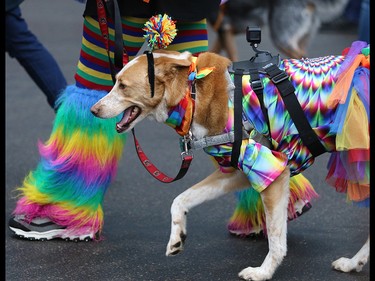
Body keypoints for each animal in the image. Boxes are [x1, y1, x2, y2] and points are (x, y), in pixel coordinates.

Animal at [91, 49, 370, 280]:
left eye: (123, 86)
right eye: (116, 82)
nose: (93, 110)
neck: (192, 93)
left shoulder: (272, 171)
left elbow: (277, 239)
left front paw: (263, 272)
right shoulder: (235, 171)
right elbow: (180, 199)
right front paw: (177, 236)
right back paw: (354, 263)